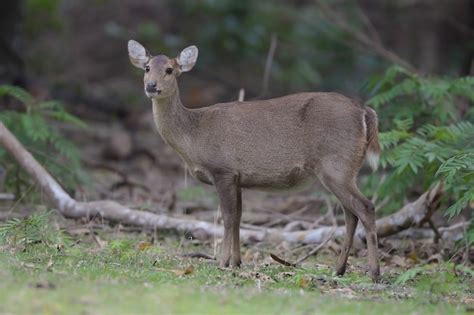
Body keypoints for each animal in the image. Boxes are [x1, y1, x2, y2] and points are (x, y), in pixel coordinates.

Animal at [128, 39, 384, 282]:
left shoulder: (223, 170)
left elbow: (227, 218)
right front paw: (236, 262)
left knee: (365, 207)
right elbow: (239, 218)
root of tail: (364, 112)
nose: (151, 86)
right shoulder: (238, 178)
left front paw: (222, 262)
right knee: (350, 213)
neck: (194, 136)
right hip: (343, 169)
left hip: (336, 163)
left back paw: (374, 272)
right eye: (147, 67)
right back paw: (338, 269)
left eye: (170, 70)